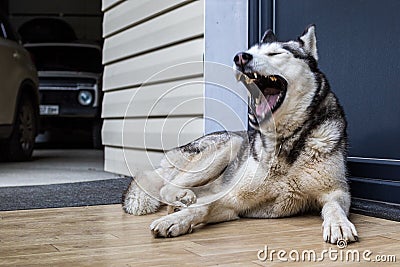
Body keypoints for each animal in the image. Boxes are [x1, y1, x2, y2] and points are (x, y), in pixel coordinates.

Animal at [123, 25, 358, 245]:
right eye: (250, 51)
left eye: (275, 53)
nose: (240, 57)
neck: (285, 143)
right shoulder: (232, 197)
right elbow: (201, 207)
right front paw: (175, 220)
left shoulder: (337, 191)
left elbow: (334, 206)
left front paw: (339, 223)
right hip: (228, 144)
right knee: (167, 187)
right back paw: (181, 198)